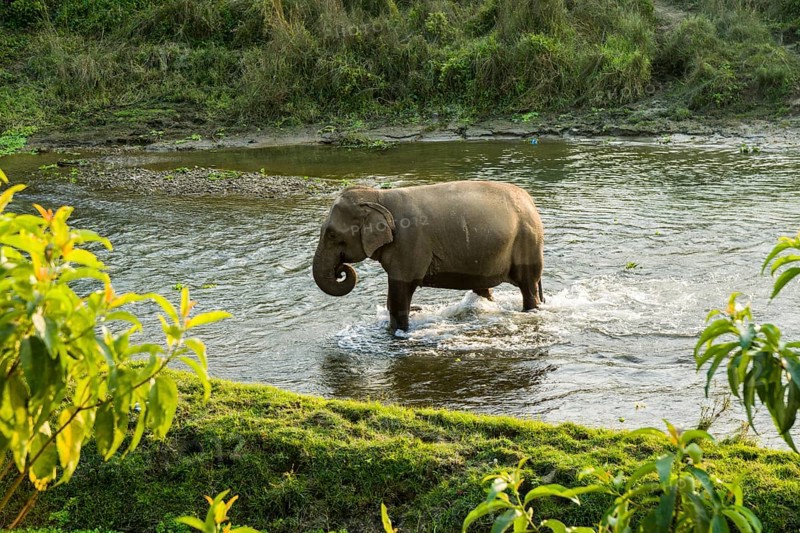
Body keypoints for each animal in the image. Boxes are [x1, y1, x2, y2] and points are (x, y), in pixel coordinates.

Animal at [312, 180, 544, 332]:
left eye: (332, 234)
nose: (340, 270)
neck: (378, 196)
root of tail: (530, 201)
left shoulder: (409, 243)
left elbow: (399, 293)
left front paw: (399, 333)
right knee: (484, 288)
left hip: (526, 241)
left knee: (528, 286)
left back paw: (530, 310)